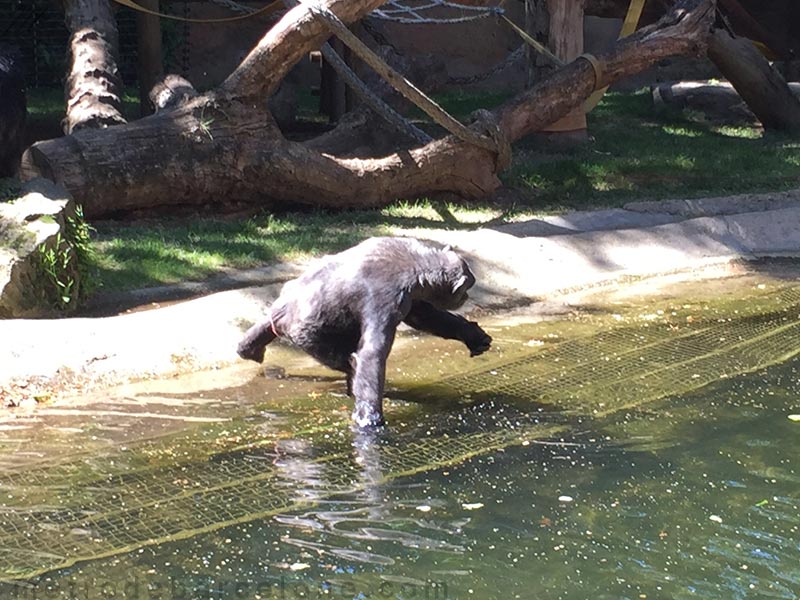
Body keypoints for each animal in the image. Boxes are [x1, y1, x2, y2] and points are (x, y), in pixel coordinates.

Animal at [234, 236, 490, 426]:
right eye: (466, 287)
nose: (466, 295)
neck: (417, 264)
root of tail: (280, 311)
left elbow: (428, 318)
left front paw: (473, 336)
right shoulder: (388, 297)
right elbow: (372, 354)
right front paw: (369, 418)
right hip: (311, 337)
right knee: (349, 360)